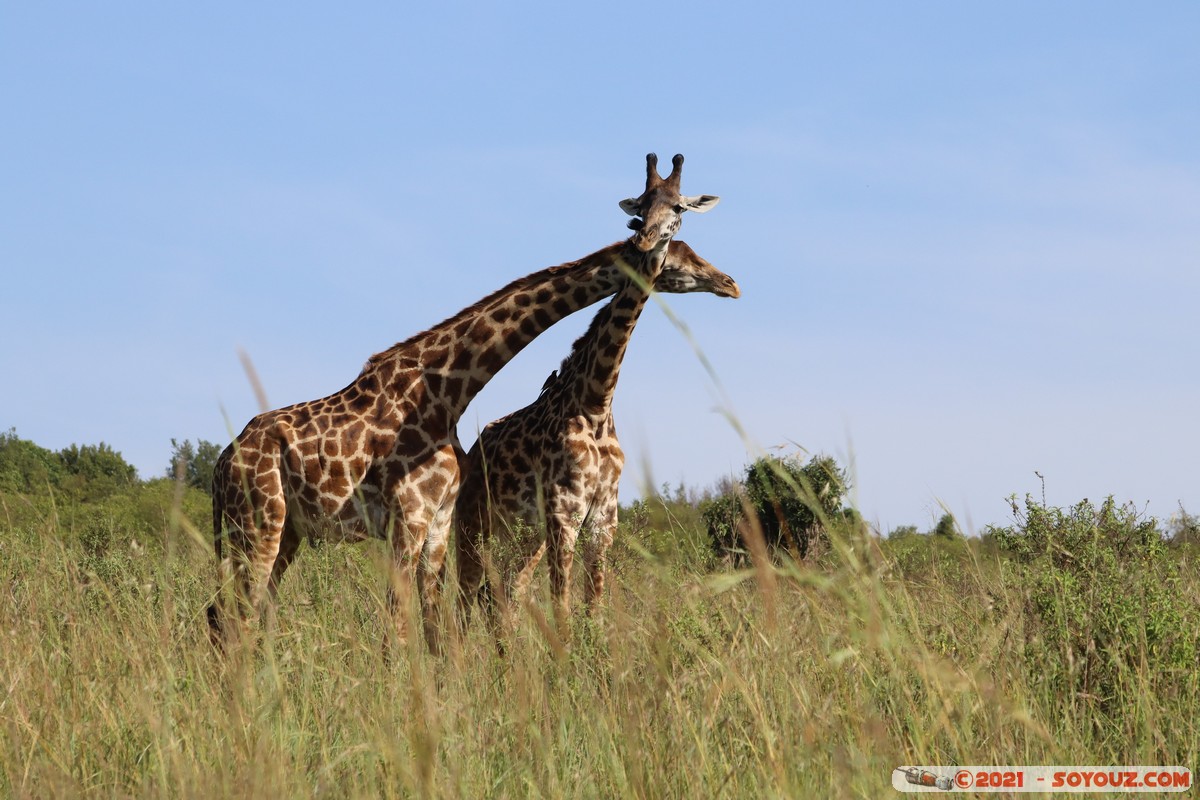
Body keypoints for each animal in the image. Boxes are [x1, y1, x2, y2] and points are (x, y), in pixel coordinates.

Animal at [454, 237, 739, 645]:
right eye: (677, 255)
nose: (730, 284)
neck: (596, 403)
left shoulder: (603, 519)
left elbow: (594, 607)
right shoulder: (564, 513)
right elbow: (562, 605)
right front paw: (565, 659)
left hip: (524, 537)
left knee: (504, 594)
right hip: (474, 526)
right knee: (465, 597)